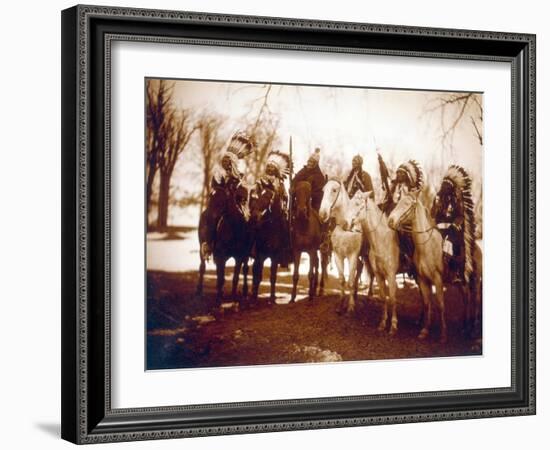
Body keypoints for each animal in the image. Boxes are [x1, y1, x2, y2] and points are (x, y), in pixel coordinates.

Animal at [320, 178, 366, 312]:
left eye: (334, 190)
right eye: (323, 190)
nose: (322, 214)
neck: (346, 227)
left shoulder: (353, 256)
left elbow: (350, 280)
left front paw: (350, 306)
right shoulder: (338, 256)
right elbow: (341, 280)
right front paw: (341, 304)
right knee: (359, 268)